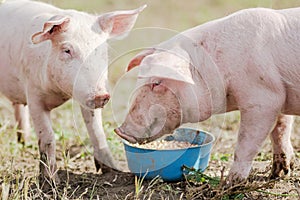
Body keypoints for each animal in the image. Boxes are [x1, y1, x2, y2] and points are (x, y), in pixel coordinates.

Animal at [0, 0, 145, 181]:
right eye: (67, 50)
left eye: (102, 52)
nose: (101, 95)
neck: (59, 93)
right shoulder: (33, 94)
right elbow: (47, 136)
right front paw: (52, 181)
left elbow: (97, 131)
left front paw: (113, 170)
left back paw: (24, 142)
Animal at [113, 7, 298, 184]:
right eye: (139, 77)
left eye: (157, 83)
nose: (120, 131)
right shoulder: (280, 97)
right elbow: (281, 129)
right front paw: (279, 174)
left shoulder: (263, 98)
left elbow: (246, 142)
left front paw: (231, 183)